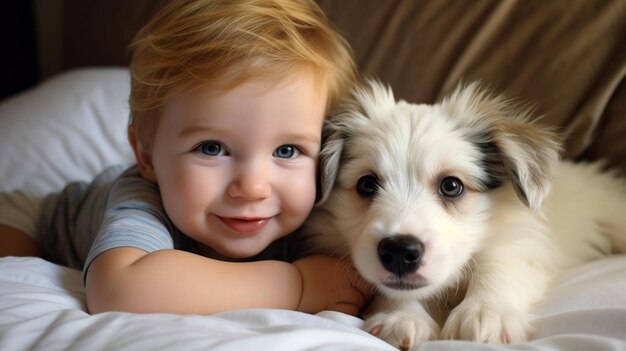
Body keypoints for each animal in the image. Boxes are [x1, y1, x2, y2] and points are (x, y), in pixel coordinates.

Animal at [304, 81, 624, 350]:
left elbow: (498, 266)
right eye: (367, 184)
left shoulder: (524, 246)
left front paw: (487, 312)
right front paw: (401, 316)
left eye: (452, 186)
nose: (399, 252)